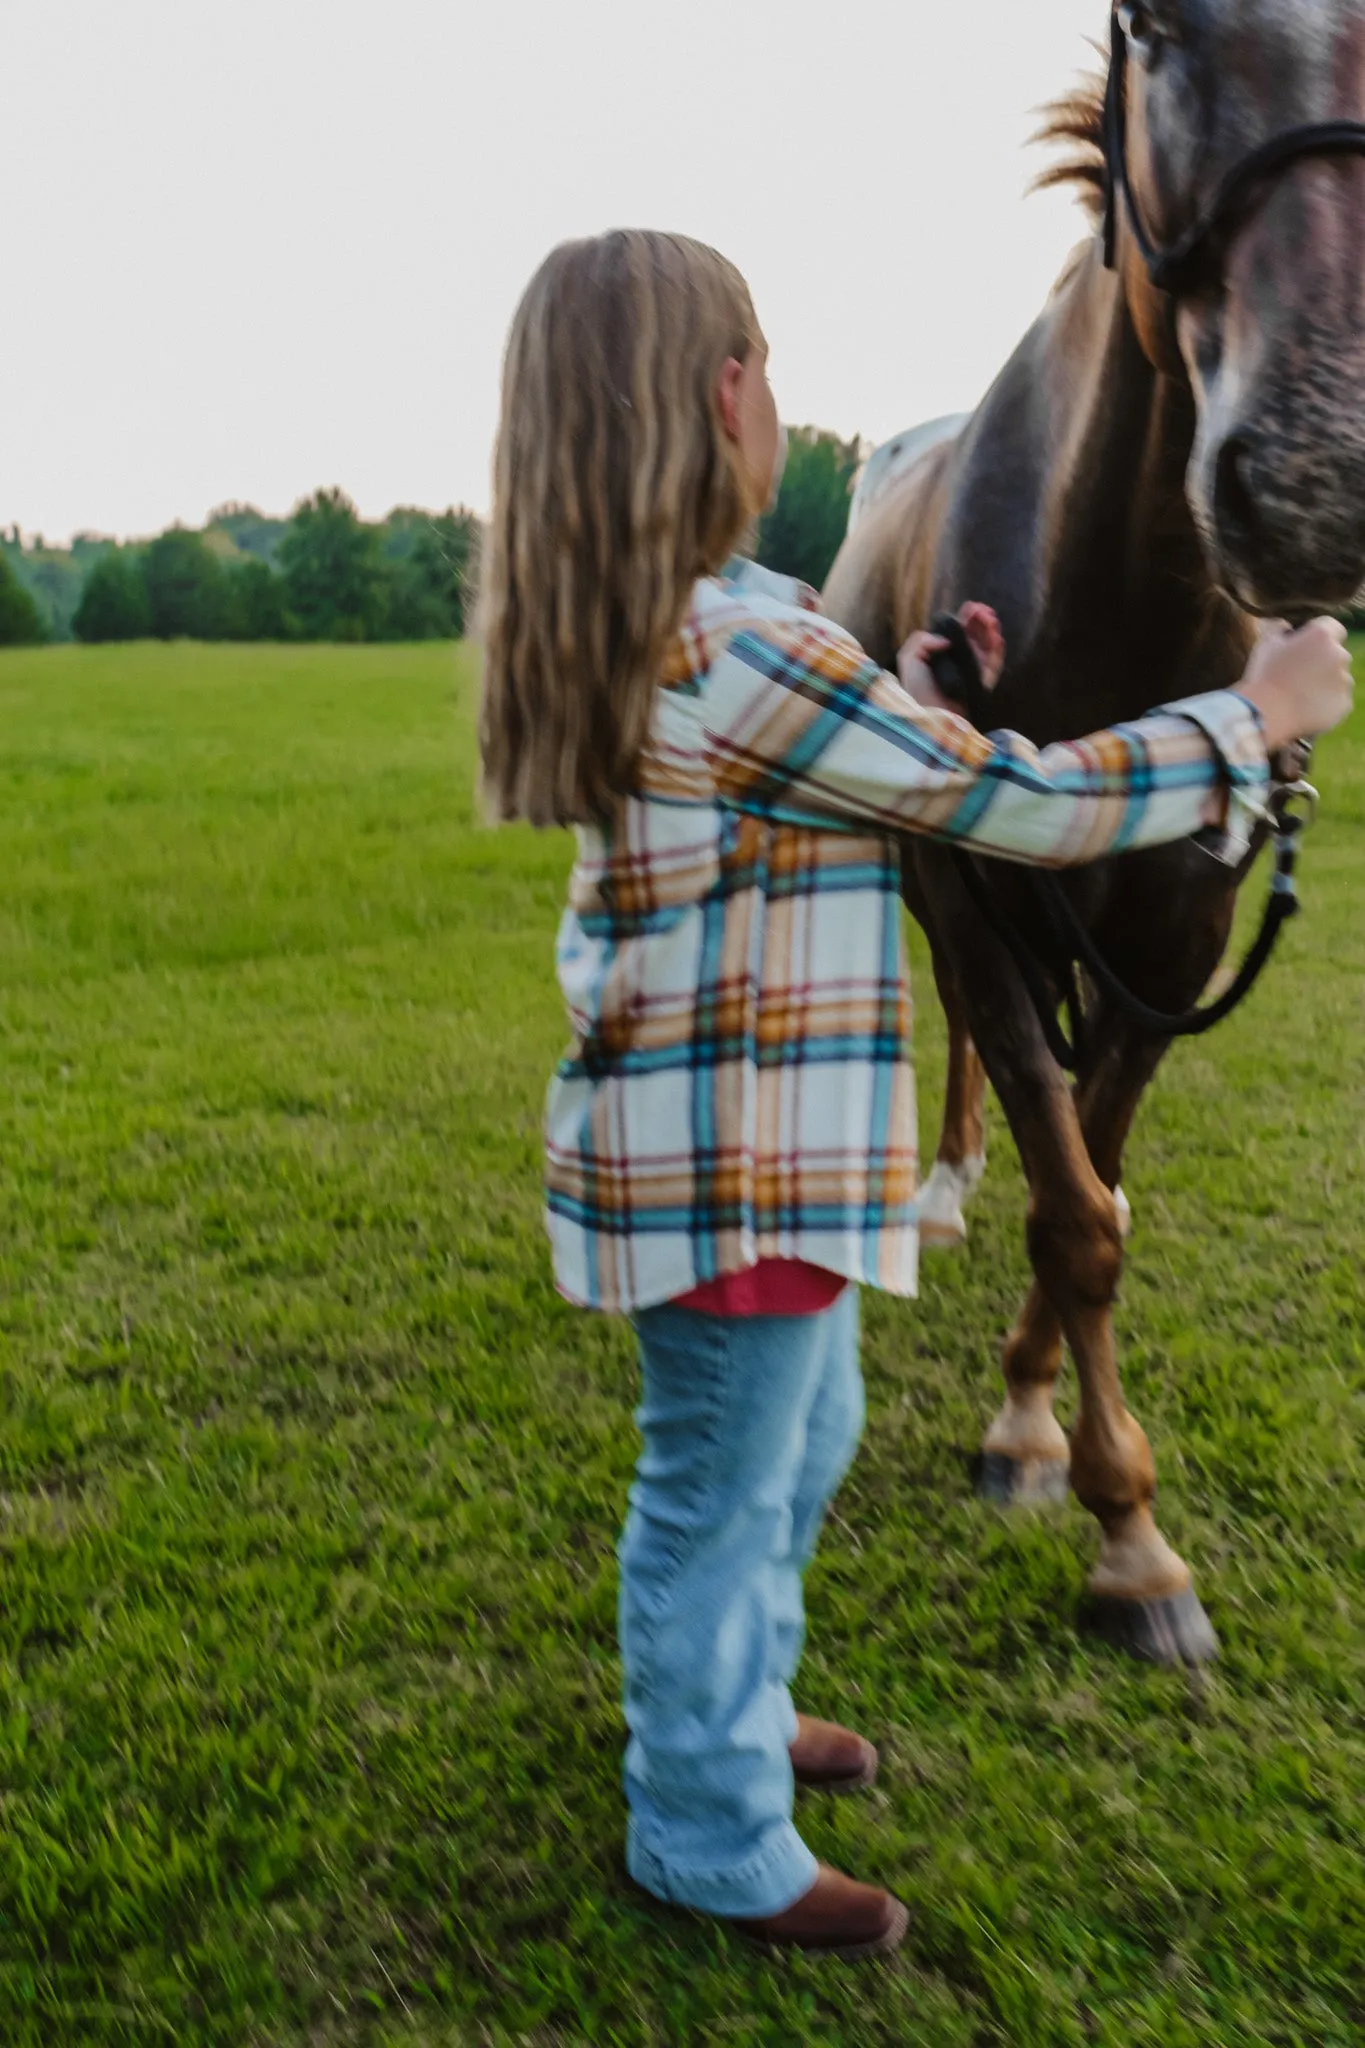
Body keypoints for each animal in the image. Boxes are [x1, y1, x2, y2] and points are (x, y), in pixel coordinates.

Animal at [826, 0, 1365, 1662]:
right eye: (1158, 26)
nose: (1320, 481)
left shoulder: (1175, 943)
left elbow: (1097, 1181)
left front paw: (1047, 1426)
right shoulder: (984, 897)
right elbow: (1074, 1215)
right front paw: (1111, 1521)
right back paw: (938, 1189)